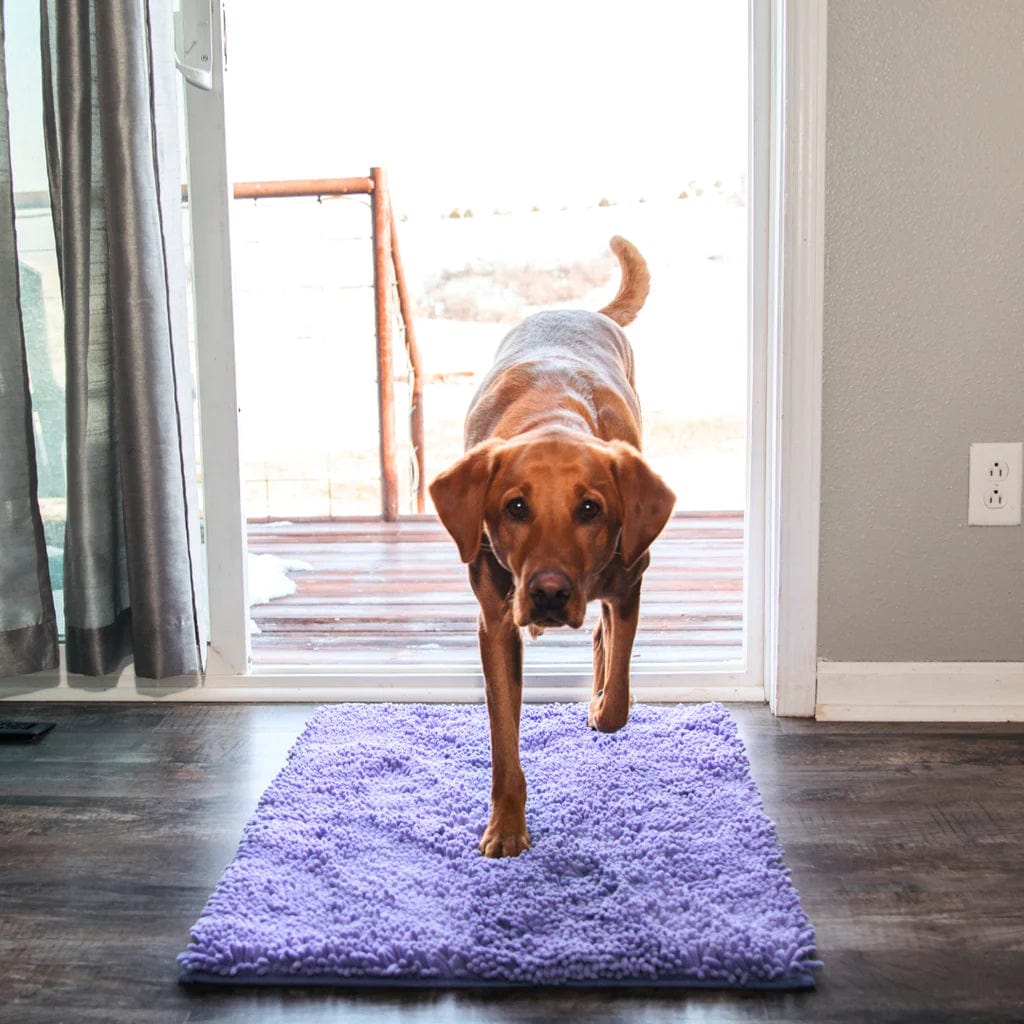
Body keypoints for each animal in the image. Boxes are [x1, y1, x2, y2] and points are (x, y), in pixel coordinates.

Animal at [428, 234, 675, 856]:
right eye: (515, 507)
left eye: (591, 509)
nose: (548, 593)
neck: (555, 418)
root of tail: (582, 309)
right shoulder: (495, 622)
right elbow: (504, 745)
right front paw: (506, 826)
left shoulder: (630, 581)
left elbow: (617, 701)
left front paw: (601, 704)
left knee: (605, 640)